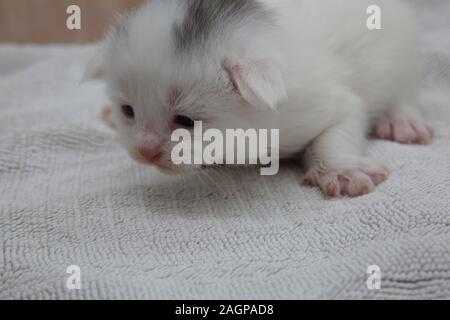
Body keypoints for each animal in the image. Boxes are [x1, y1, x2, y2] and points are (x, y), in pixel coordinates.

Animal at [85, 0, 432, 196]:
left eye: (185, 121)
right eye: (128, 110)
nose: (145, 151)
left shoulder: (312, 100)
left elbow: (339, 125)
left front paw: (341, 170)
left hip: (402, 49)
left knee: (403, 85)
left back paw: (402, 119)